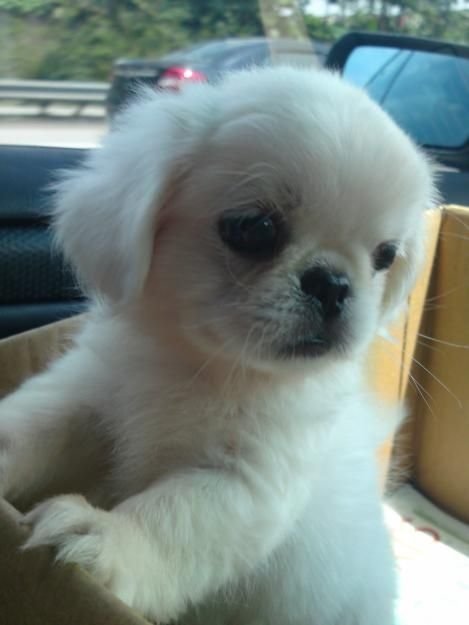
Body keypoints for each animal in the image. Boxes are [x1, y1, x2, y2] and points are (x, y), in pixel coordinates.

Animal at [0, 68, 436, 624]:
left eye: (385, 256)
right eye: (255, 228)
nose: (334, 284)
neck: (201, 365)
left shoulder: (243, 481)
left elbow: (173, 519)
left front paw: (106, 536)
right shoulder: (88, 397)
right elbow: (28, 429)